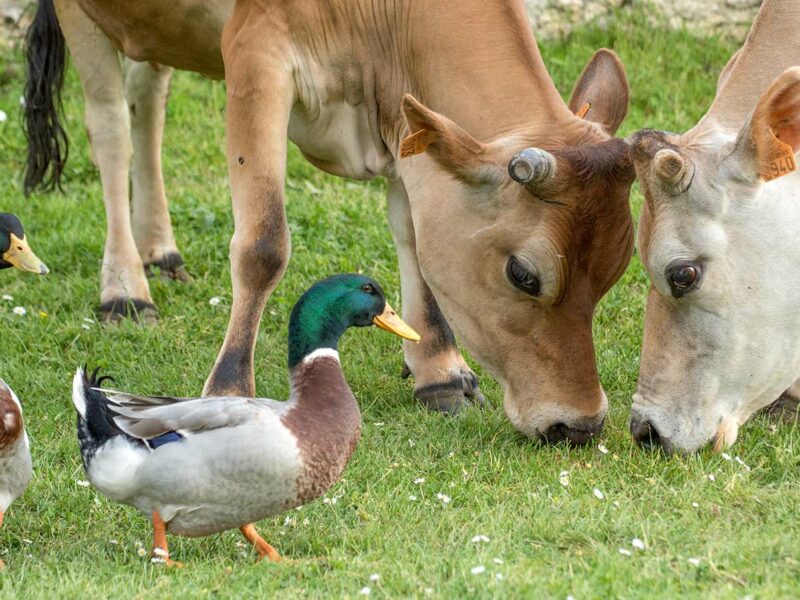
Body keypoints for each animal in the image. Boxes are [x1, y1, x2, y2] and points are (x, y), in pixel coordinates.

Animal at [28, 1, 636, 446]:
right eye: (523, 275)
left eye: (614, 274)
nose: (578, 424)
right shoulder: (256, 51)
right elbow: (263, 244)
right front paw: (227, 392)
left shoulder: (402, 114)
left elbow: (413, 233)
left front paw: (440, 371)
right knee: (109, 127)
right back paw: (125, 288)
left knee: (147, 98)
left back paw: (161, 251)